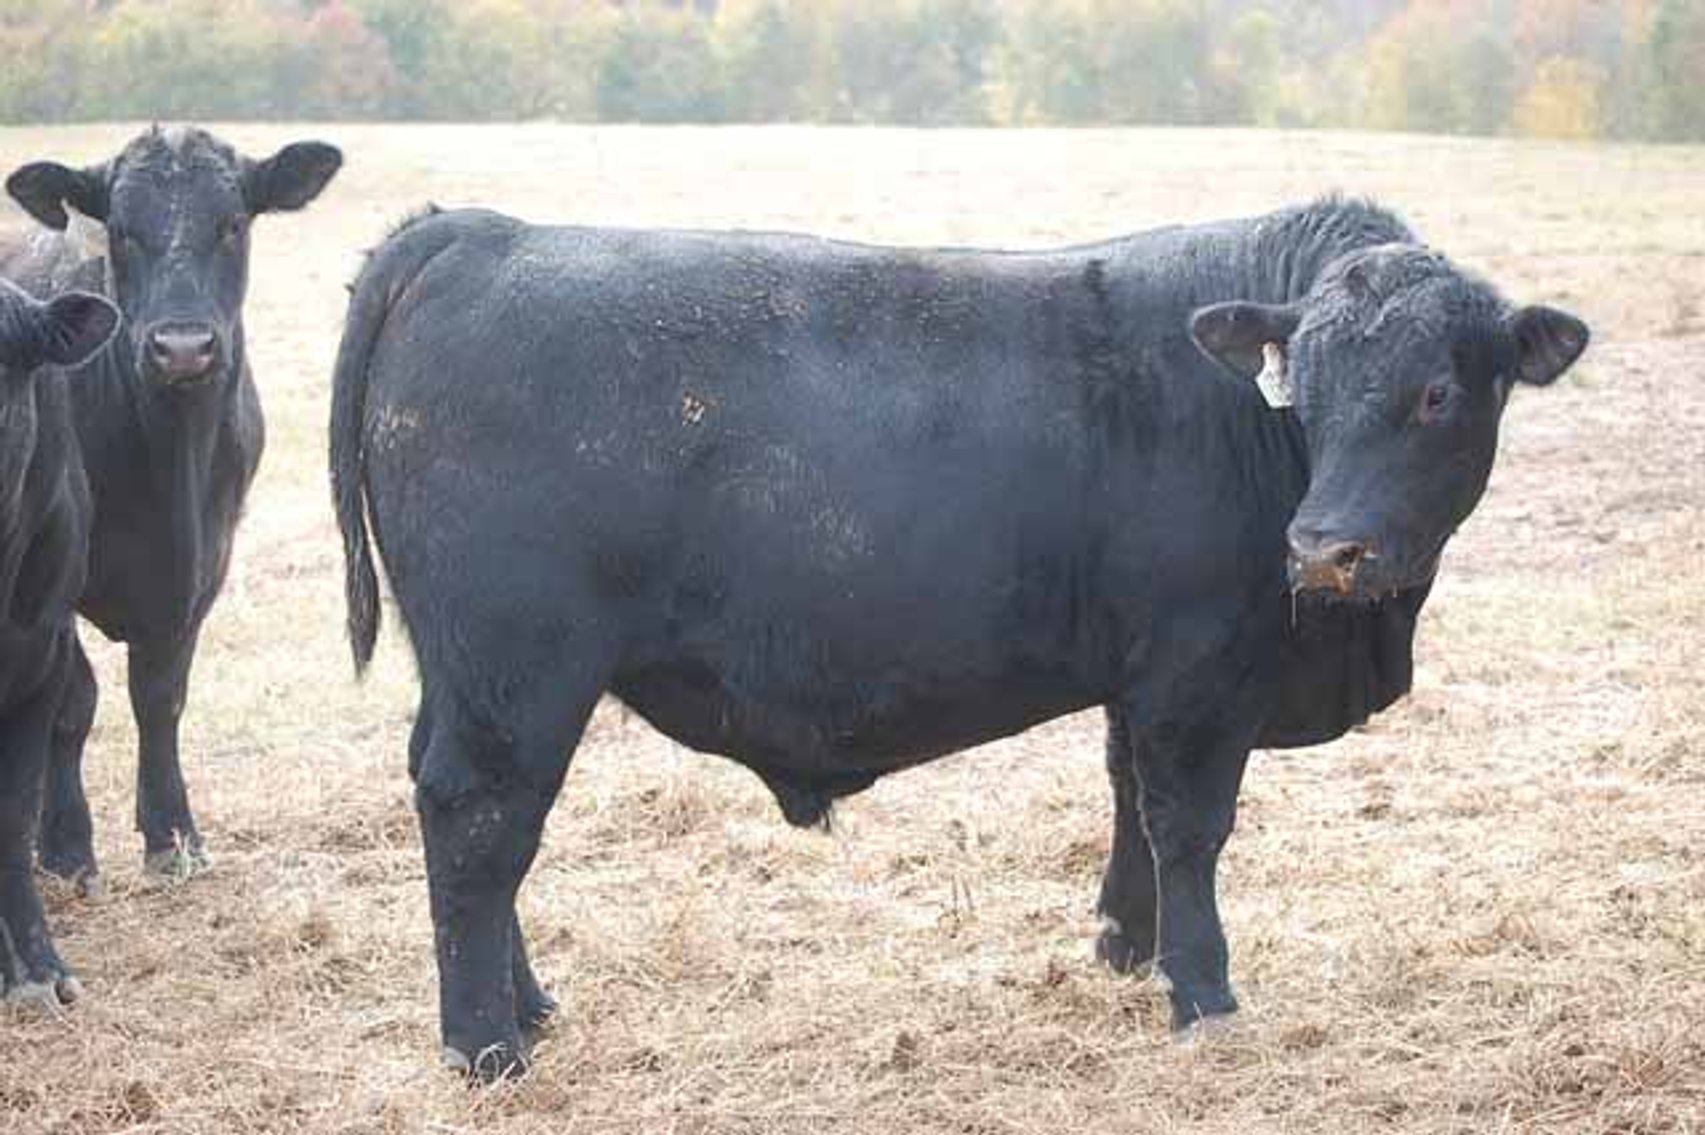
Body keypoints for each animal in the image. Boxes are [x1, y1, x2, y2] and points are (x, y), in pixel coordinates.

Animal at [2, 127, 341, 888]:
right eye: (120, 231)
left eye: (234, 223)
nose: (183, 348)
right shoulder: (52, 578)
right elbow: (74, 701)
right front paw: (65, 844)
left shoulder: (206, 565)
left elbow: (160, 698)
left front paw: (174, 834)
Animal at [329, 198, 1588, 1079]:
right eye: (1307, 388)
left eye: (1435, 394)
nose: (1323, 548)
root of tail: (481, 233)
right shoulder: (1198, 676)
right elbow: (1188, 828)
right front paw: (1201, 994)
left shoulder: (1139, 676)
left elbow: (1126, 798)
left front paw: (1123, 948)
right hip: (517, 675)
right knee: (480, 827)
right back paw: (488, 1046)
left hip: (472, 678)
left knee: (473, 827)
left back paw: (529, 1007)